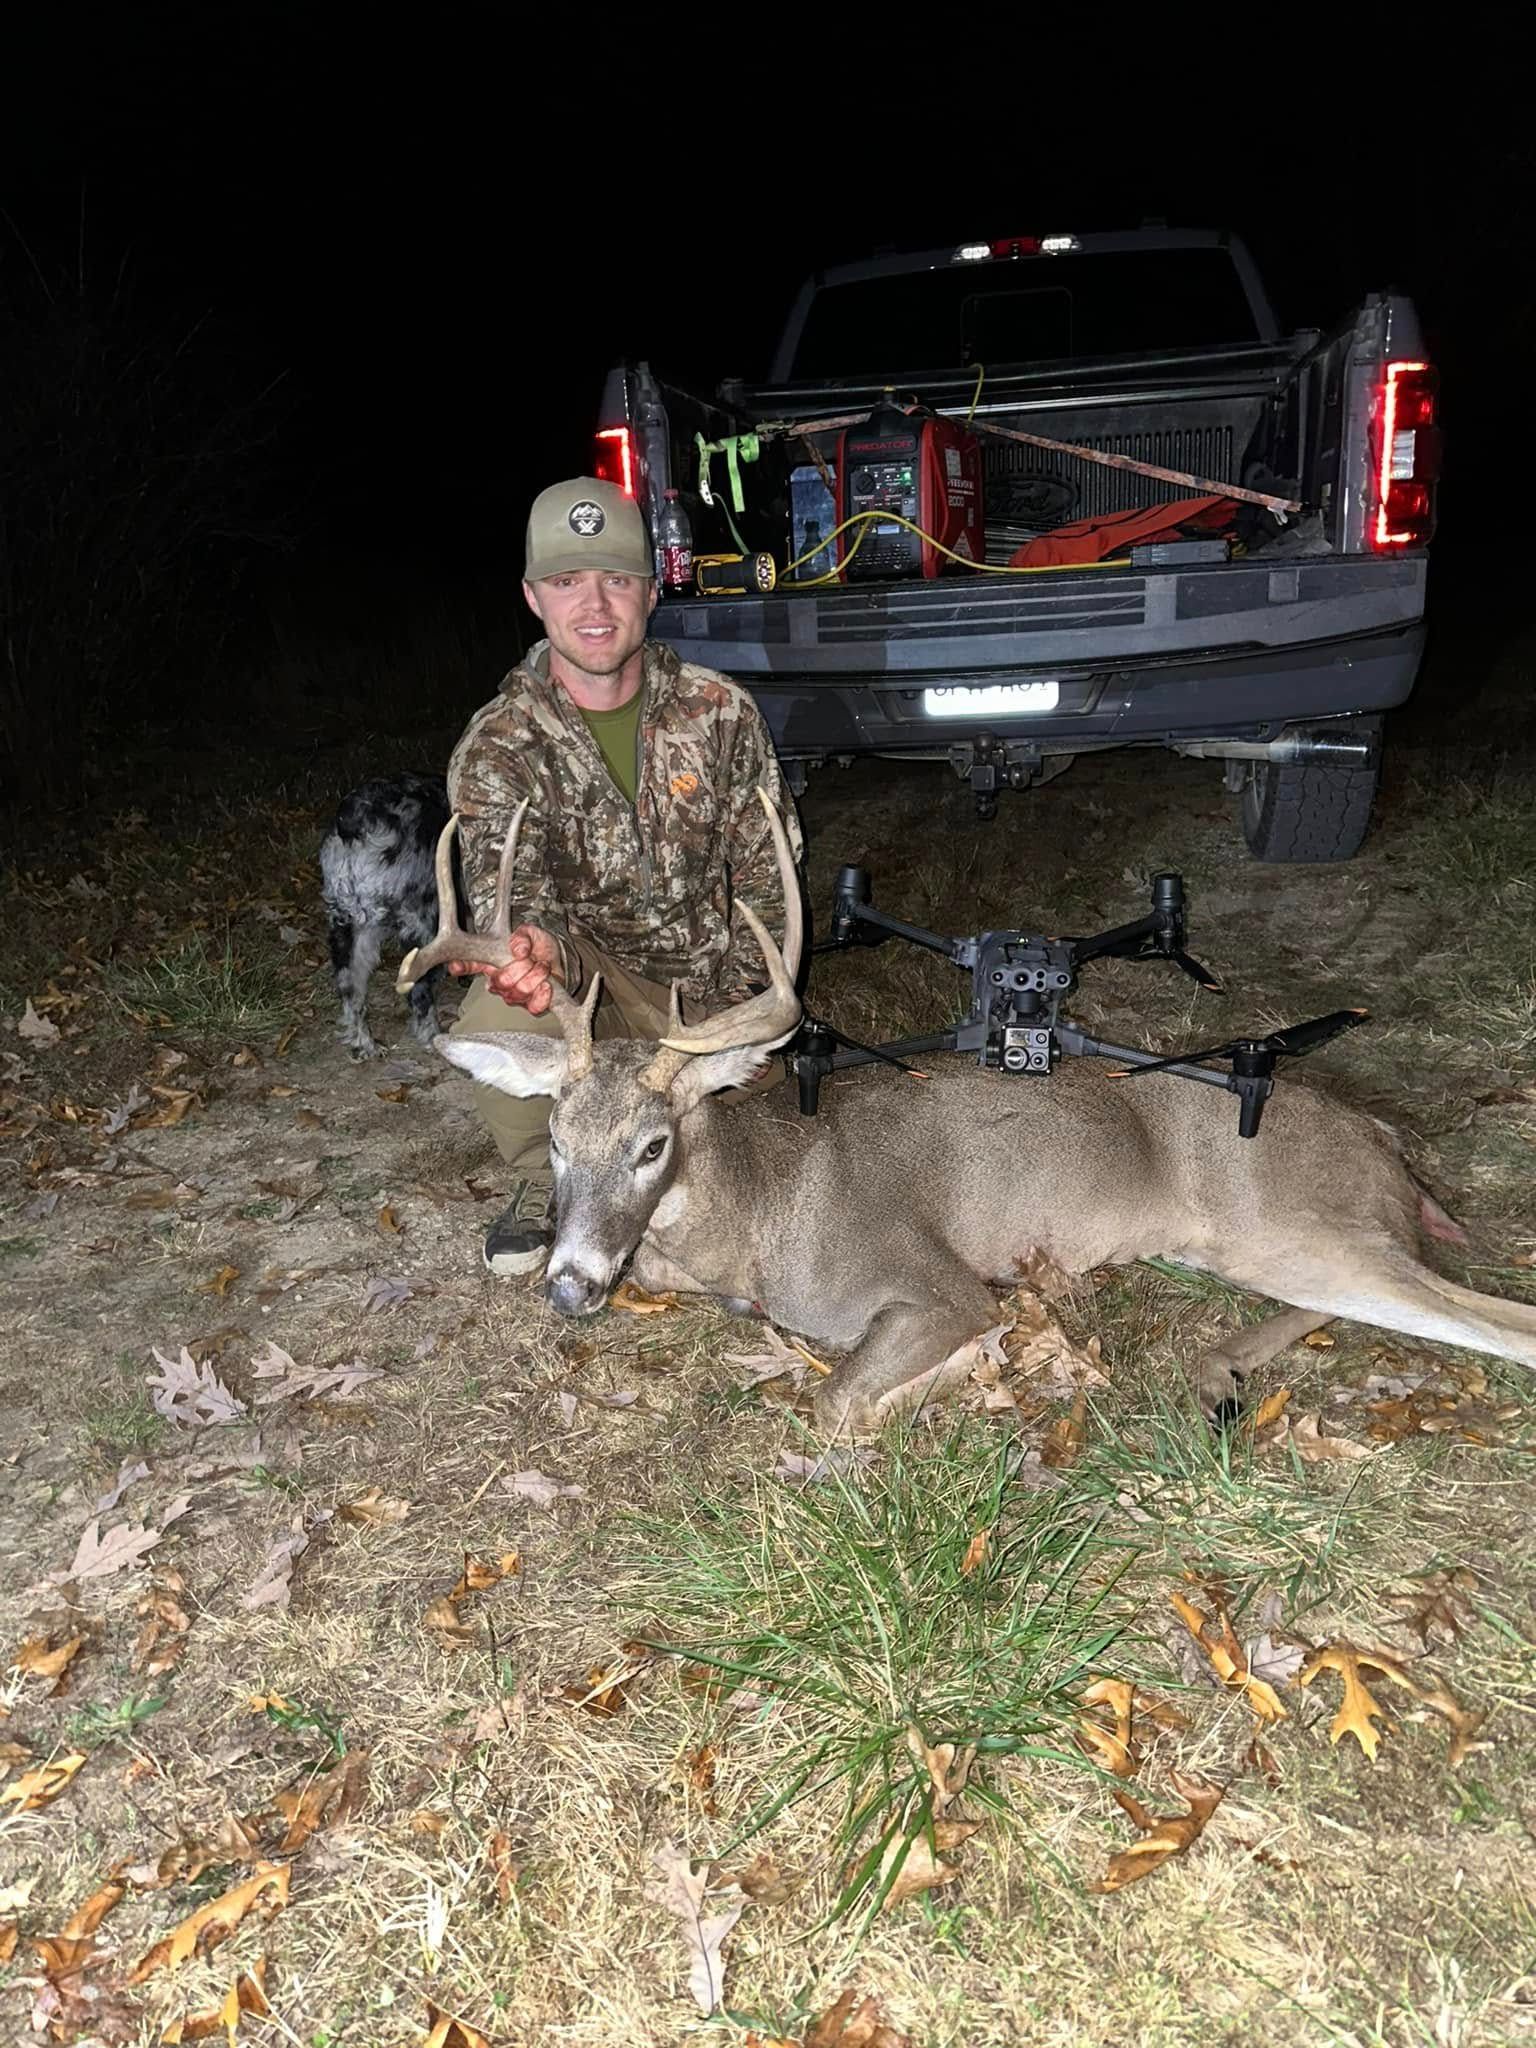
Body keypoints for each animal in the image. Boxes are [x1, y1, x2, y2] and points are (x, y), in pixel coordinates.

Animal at [397, 790, 1536, 1434]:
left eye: (653, 1144)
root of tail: (1386, 1144)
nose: (570, 1285)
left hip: (1295, 1224)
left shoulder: (932, 1280)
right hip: (1249, 1246)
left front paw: (969, 1372)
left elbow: (836, 1402)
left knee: (1496, 1320)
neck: (761, 1220)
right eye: (555, 1141)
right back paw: (1221, 1366)